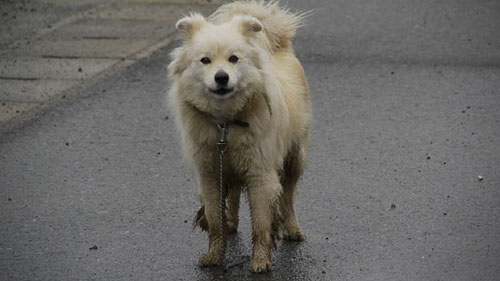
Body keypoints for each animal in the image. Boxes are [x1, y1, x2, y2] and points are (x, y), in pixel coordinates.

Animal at [168, 0, 312, 272]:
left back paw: (292, 228)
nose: (221, 77)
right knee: (233, 192)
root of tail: (280, 45)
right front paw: (214, 256)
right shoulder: (210, 173)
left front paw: (261, 262)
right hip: (230, 166)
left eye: (233, 59)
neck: (225, 123)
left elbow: (262, 223)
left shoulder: (260, 174)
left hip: (294, 157)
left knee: (288, 196)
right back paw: (231, 223)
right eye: (205, 60)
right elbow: (214, 220)